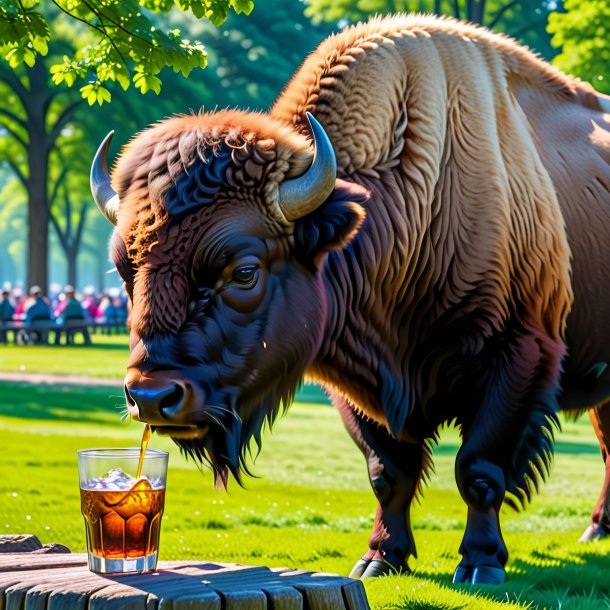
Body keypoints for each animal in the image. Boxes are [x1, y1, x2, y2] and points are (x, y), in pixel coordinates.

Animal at [90, 15, 608, 584]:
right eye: (125, 270)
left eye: (245, 271)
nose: (151, 397)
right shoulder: (360, 387)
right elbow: (388, 472)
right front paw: (380, 558)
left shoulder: (518, 357)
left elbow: (479, 469)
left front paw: (479, 564)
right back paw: (596, 530)